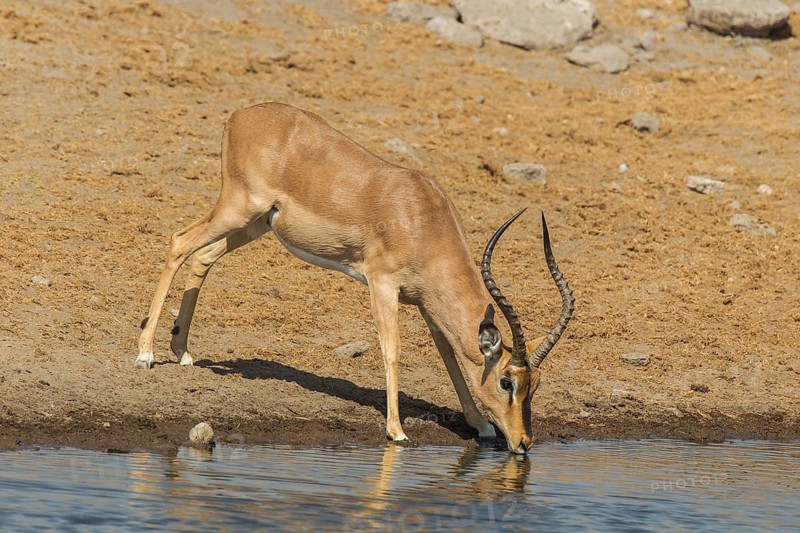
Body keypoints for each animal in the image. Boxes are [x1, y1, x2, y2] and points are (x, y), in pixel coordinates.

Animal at [135, 102, 574, 454]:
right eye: (507, 382)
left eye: (535, 384)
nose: (524, 443)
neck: (422, 215)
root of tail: (240, 115)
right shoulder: (383, 284)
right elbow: (392, 350)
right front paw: (396, 430)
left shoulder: (426, 303)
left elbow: (449, 356)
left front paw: (480, 425)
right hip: (237, 209)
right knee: (179, 242)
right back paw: (145, 355)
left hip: (254, 224)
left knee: (202, 257)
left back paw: (182, 351)